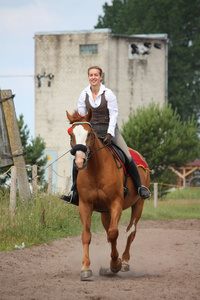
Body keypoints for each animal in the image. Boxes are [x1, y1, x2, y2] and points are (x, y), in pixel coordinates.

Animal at [66, 109, 150, 280]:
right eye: (71, 135)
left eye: (89, 133)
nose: (80, 161)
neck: (96, 170)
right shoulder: (85, 205)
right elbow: (87, 235)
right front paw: (86, 268)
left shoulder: (115, 203)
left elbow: (113, 233)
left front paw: (115, 264)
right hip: (105, 212)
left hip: (138, 204)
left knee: (130, 231)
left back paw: (123, 262)